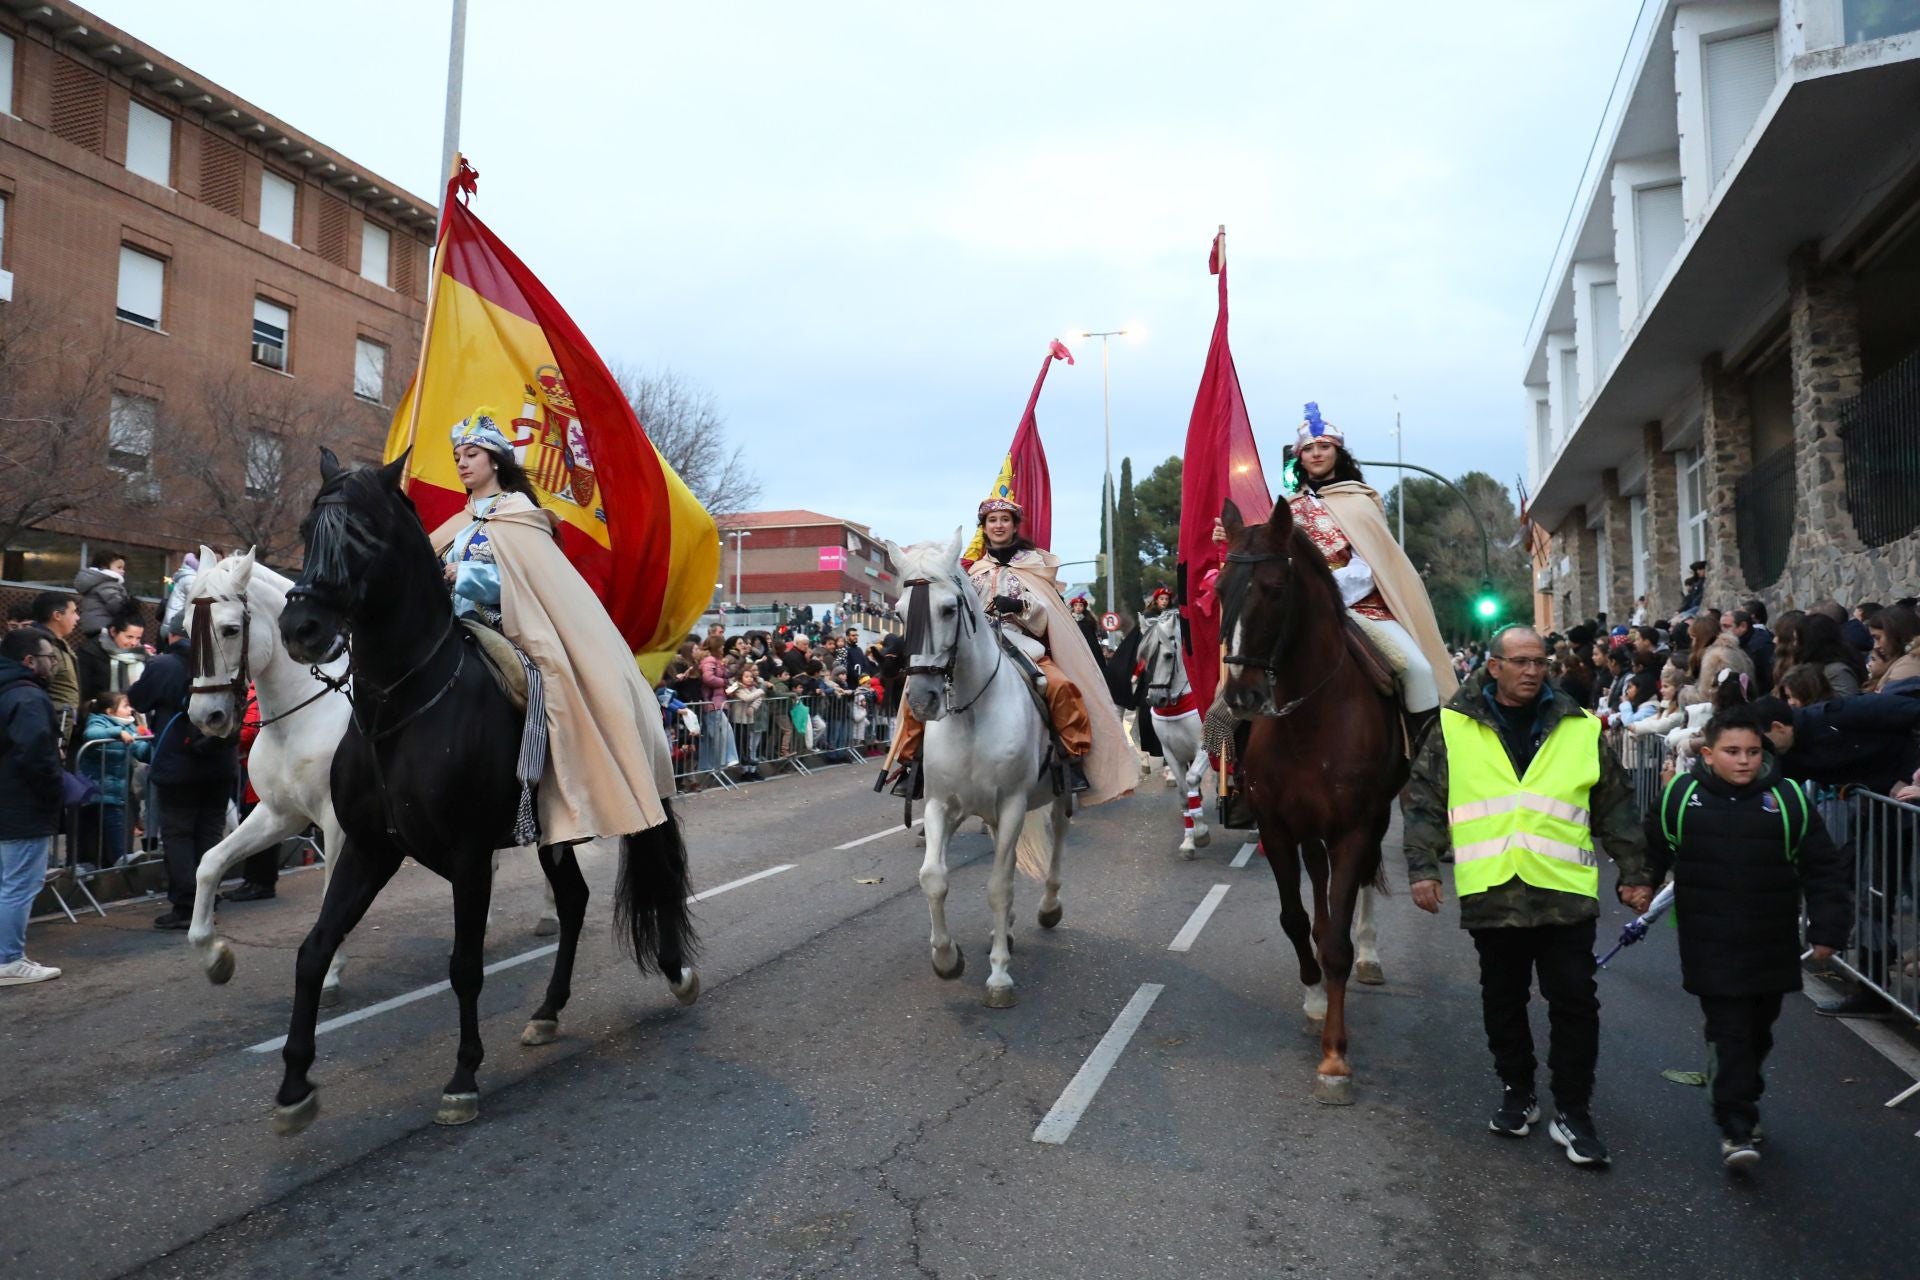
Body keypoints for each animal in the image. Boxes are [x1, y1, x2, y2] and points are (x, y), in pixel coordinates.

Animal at [274, 449, 702, 1128]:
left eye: (364, 532)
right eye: (306, 529)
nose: (302, 628)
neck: (401, 709)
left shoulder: (469, 856)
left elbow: (465, 966)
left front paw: (463, 1078)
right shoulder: (370, 848)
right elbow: (314, 950)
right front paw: (295, 1087)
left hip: (641, 802)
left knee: (654, 879)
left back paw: (675, 972)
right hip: (555, 831)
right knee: (574, 901)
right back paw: (548, 1012)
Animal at [902, 533, 1075, 1013]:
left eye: (947, 609)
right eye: (901, 612)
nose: (921, 699)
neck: (972, 714)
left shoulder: (1014, 803)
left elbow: (999, 887)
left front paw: (999, 978)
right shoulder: (941, 805)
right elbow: (933, 878)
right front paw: (947, 958)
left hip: (1057, 796)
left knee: (1057, 840)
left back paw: (1048, 908)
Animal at [1136, 610, 1213, 859]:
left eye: (1169, 655)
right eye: (1143, 656)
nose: (1155, 698)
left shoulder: (1205, 748)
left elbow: (1192, 779)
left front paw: (1201, 831)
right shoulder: (1170, 752)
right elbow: (1183, 794)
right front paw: (1189, 841)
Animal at [1221, 498, 1405, 1105]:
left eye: (1276, 588)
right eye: (1220, 590)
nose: (1242, 695)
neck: (1310, 718)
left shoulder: (1354, 827)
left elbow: (1338, 946)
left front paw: (1335, 1059)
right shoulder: (1277, 829)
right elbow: (1295, 919)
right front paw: (1315, 999)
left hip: (1376, 819)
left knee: (1363, 888)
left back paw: (1369, 954)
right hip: (1309, 832)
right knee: (1320, 890)